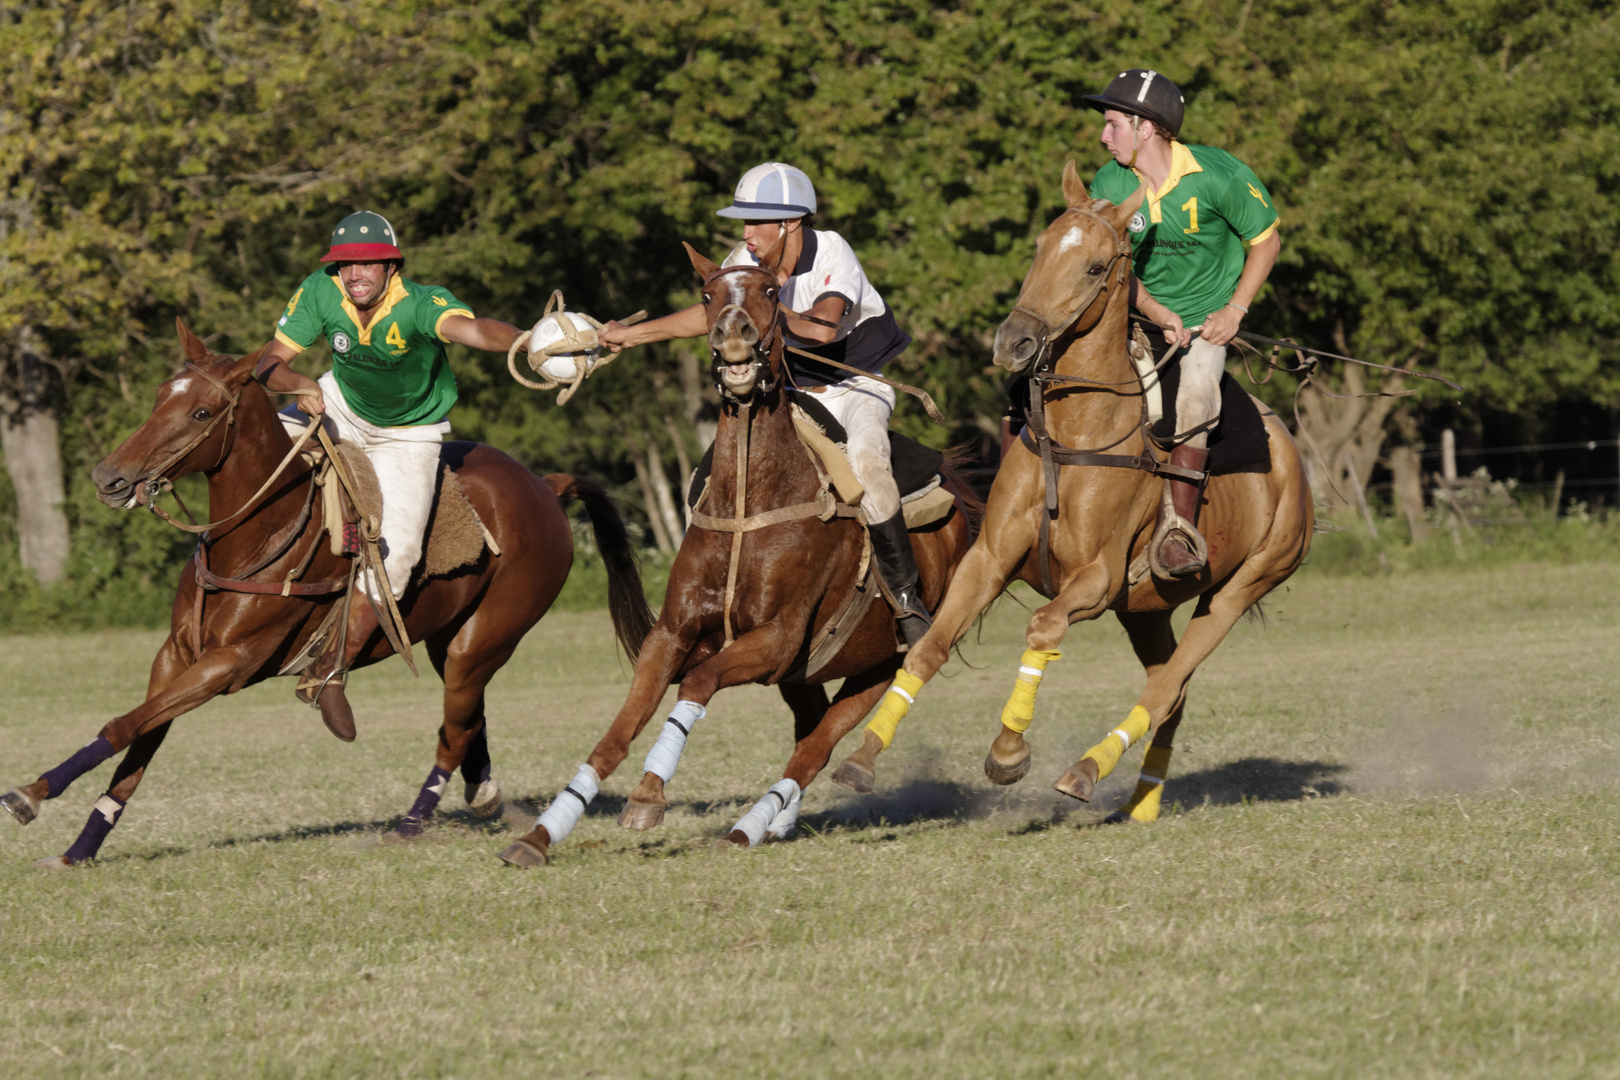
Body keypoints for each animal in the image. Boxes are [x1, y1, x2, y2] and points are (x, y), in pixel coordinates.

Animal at [7, 317, 651, 867]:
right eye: (160, 396)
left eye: (200, 411)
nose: (109, 479)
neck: (256, 532)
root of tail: (545, 484)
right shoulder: (176, 655)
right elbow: (139, 743)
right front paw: (78, 849)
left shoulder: (230, 664)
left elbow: (124, 726)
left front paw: (30, 794)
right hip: (449, 639)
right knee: (468, 717)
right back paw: (483, 793)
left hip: (486, 636)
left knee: (453, 729)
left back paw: (410, 824)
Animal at [492, 247, 972, 867]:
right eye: (707, 295)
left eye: (768, 292)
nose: (734, 337)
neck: (750, 493)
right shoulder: (674, 632)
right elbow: (618, 730)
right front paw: (540, 833)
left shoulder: (774, 640)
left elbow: (698, 684)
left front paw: (648, 794)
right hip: (808, 672)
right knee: (808, 730)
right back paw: (775, 823)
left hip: (880, 663)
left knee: (817, 748)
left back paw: (750, 825)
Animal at [829, 160, 1308, 819]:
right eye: (1040, 247)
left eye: (1094, 267)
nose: (1013, 343)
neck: (1074, 432)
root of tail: (1289, 449)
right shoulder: (988, 559)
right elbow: (930, 649)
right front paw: (863, 756)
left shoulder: (1098, 578)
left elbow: (1042, 628)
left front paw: (1008, 753)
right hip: (1146, 609)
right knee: (1172, 689)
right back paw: (1141, 803)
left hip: (1242, 587)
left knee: (1167, 685)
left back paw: (1084, 771)